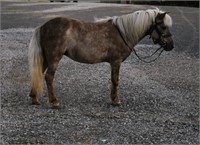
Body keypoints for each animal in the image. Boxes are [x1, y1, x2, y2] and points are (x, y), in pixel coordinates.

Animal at [28, 7, 173, 108]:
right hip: (54, 58)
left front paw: (113, 99)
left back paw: (34, 99)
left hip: (46, 59)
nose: (171, 45)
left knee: (38, 73)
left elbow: (113, 80)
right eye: (163, 26)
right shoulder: (116, 62)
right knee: (48, 77)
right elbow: (115, 80)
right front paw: (116, 101)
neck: (122, 33)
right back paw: (54, 102)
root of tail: (43, 26)